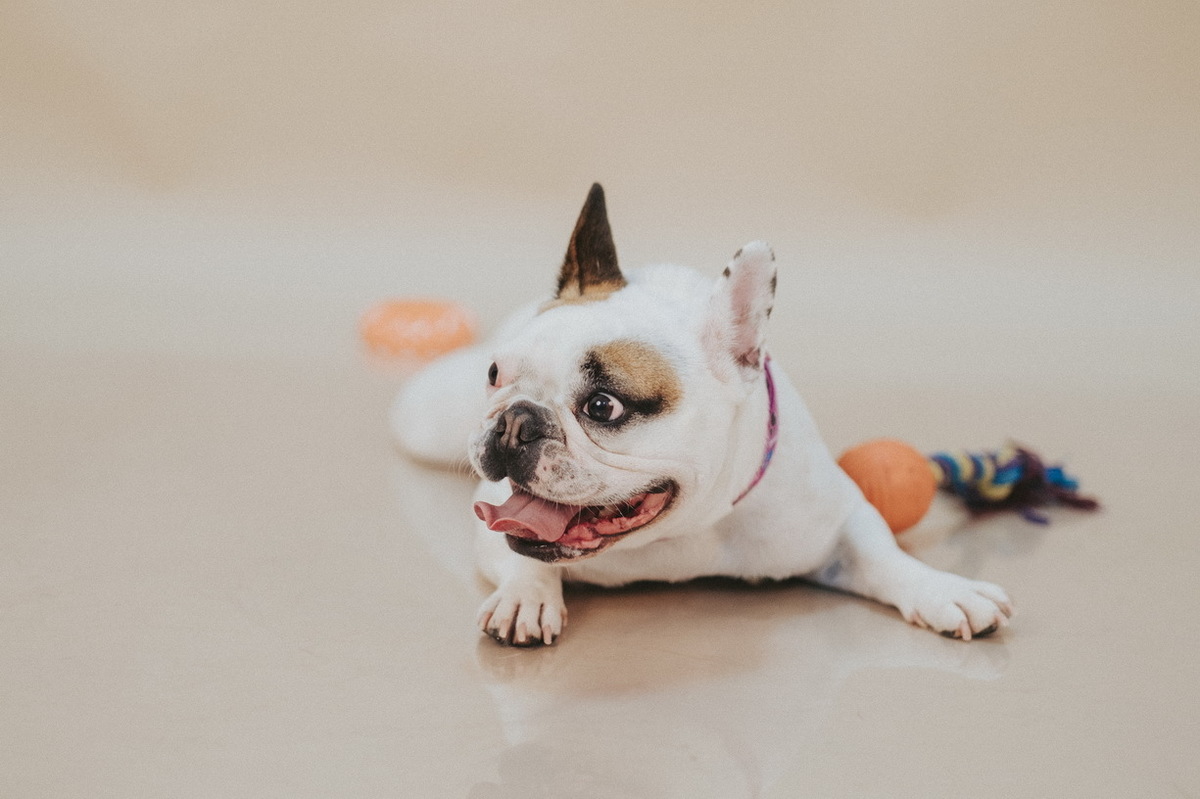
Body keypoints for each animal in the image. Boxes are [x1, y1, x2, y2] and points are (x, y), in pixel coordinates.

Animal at [393, 184, 1012, 646]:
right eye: (495, 374)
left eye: (603, 406)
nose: (515, 419)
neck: (678, 534)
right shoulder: (497, 520)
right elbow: (518, 550)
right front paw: (526, 596)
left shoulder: (836, 518)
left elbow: (883, 554)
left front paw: (943, 589)